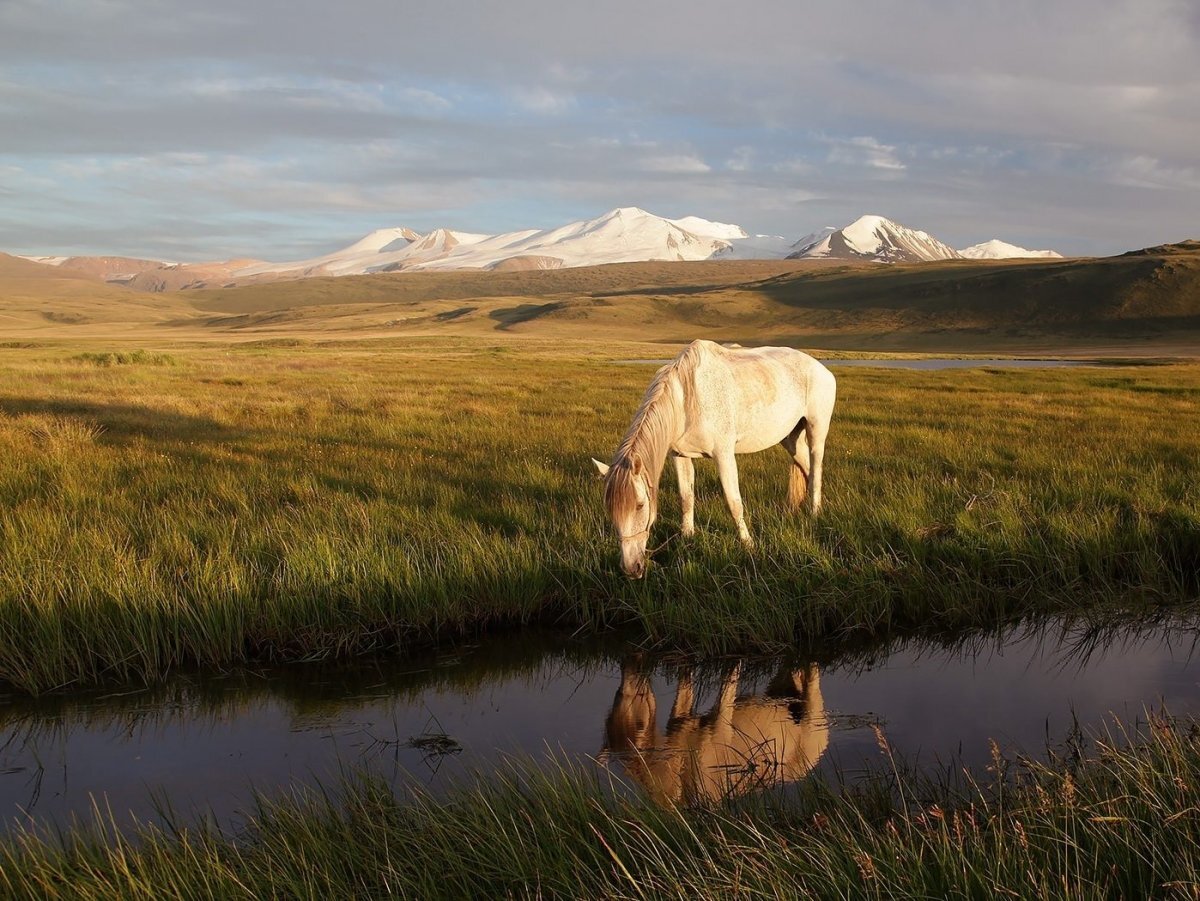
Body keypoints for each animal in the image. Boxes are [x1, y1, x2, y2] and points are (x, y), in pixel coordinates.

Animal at [590, 338, 835, 578]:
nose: (631, 569)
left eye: (640, 505)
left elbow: (734, 503)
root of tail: (822, 370)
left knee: (816, 468)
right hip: (790, 437)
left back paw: (814, 512)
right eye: (609, 508)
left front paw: (748, 544)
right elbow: (686, 497)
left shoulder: (724, 454)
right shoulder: (679, 455)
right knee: (806, 468)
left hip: (816, 429)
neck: (687, 400)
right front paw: (687, 536)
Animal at [597, 657, 825, 806]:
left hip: (813, 708)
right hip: (781, 687)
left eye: (639, 723)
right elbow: (685, 682)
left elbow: (729, 681)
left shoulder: (720, 725)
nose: (630, 665)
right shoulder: (681, 720)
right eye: (617, 696)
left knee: (812, 676)